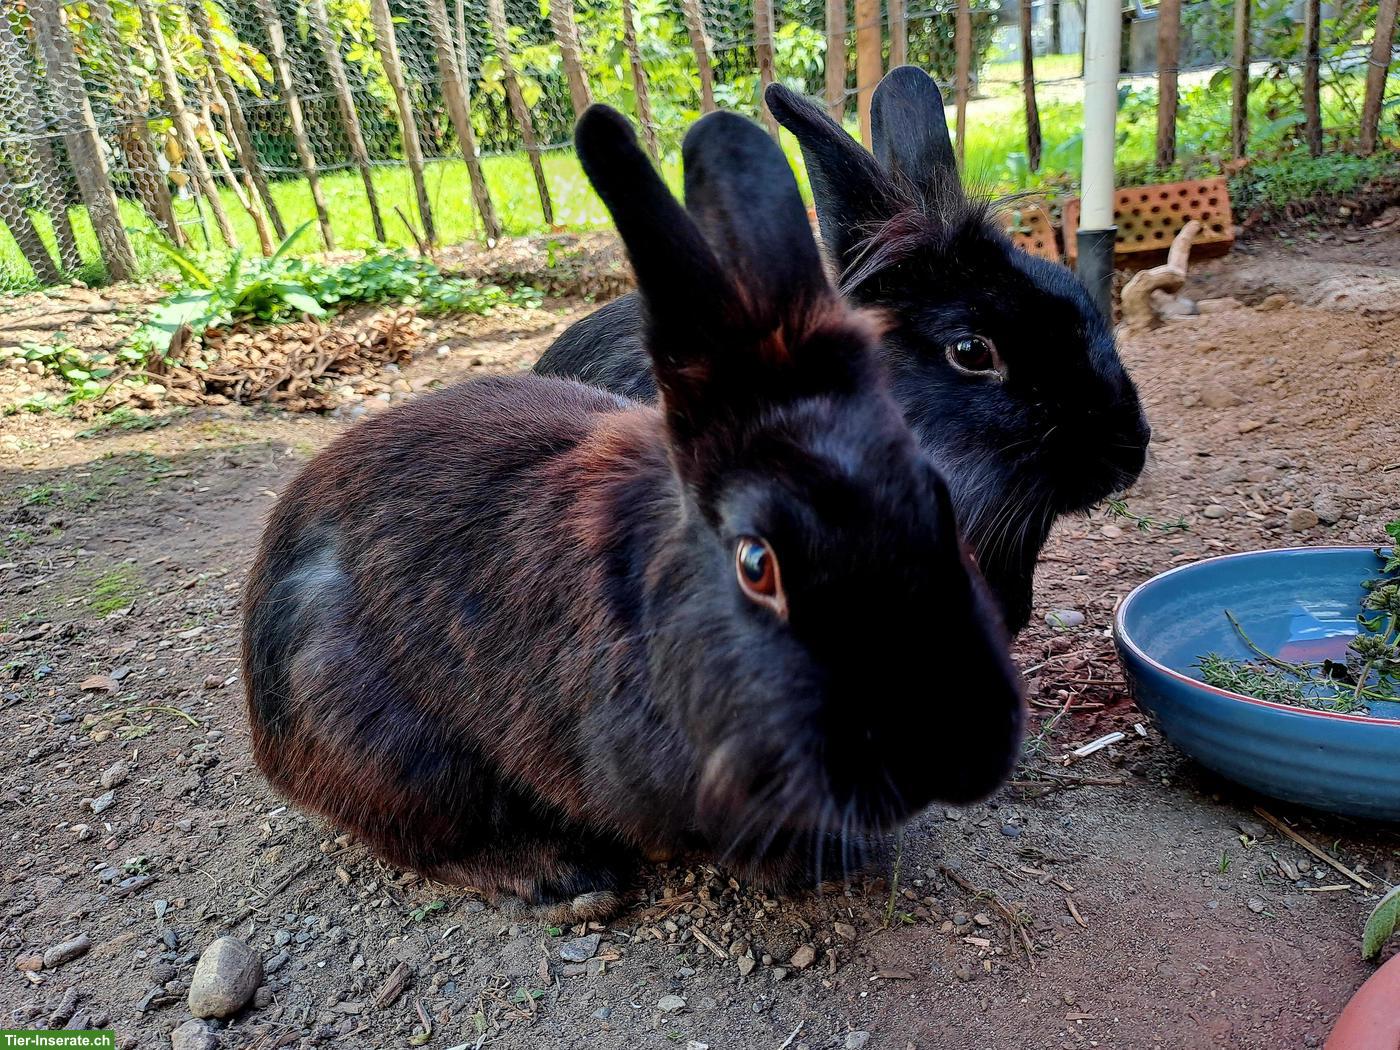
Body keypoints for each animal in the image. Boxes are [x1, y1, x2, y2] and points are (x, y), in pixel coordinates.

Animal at [242, 105, 1024, 923]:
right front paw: (823, 862)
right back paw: (564, 877)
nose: (964, 755)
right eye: (756, 564)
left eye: (938, 500)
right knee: (420, 838)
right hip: (392, 753)